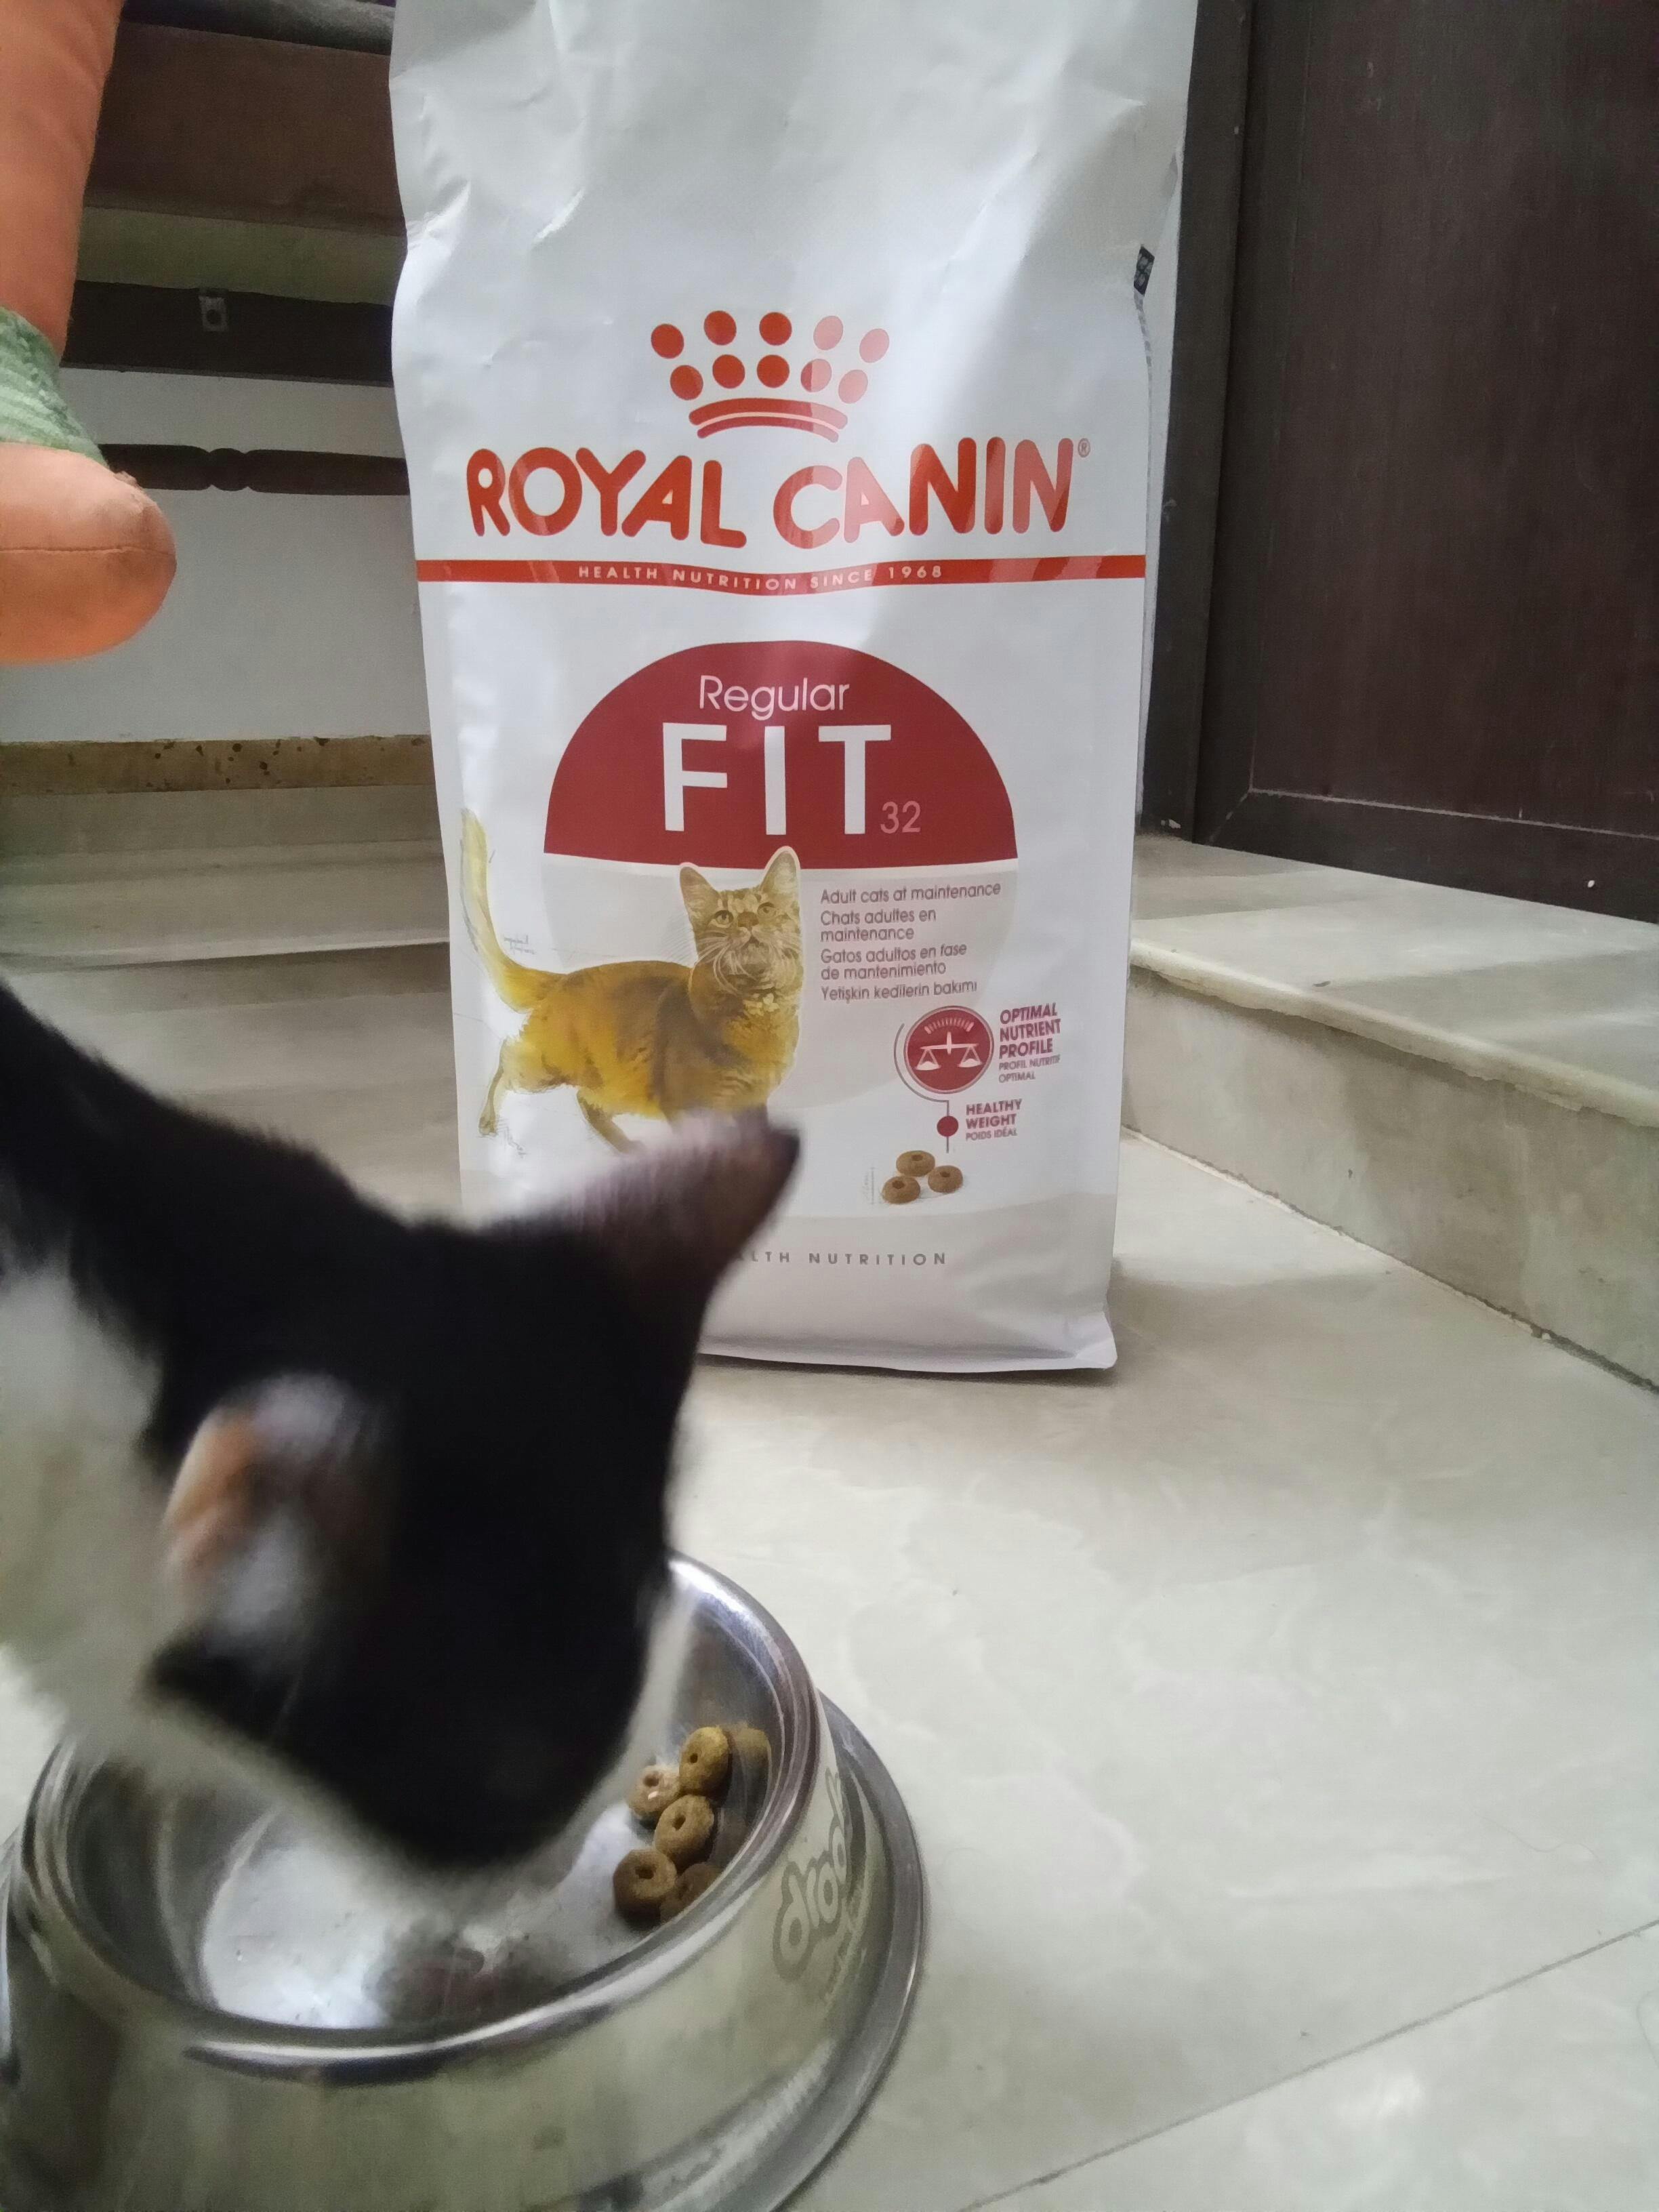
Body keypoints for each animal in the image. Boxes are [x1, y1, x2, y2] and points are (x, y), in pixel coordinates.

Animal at [461, 814, 803, 1151]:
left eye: (766, 910)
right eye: (723, 917)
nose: (749, 922)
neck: (757, 1010)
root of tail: (565, 978)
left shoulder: (752, 1103)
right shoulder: (685, 1107)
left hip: (617, 1084)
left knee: (585, 1100)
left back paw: (627, 1149)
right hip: (547, 1066)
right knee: (506, 1059)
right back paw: (487, 1119)